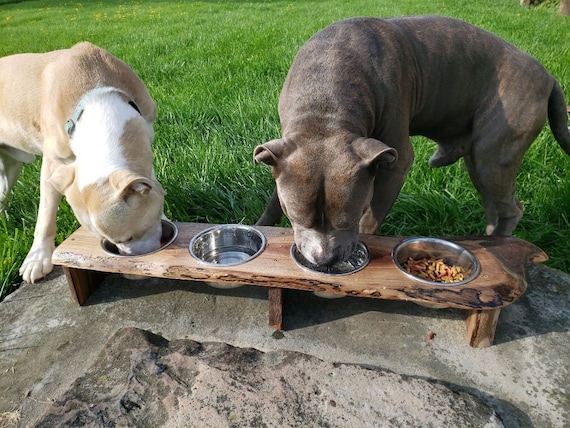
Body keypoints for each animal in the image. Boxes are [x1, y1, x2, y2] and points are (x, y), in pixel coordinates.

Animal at [0, 42, 165, 284]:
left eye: (129, 236)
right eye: (120, 240)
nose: (133, 271)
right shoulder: (53, 165)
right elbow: (45, 215)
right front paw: (37, 257)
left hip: (9, 168)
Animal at [254, 16, 568, 266]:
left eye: (351, 217)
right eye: (295, 218)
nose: (325, 259)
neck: (326, 106)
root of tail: (549, 76)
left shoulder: (394, 161)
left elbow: (372, 218)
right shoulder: (284, 151)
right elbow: (273, 198)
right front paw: (261, 224)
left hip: (493, 157)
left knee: (509, 207)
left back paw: (501, 244)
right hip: (479, 162)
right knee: (494, 206)